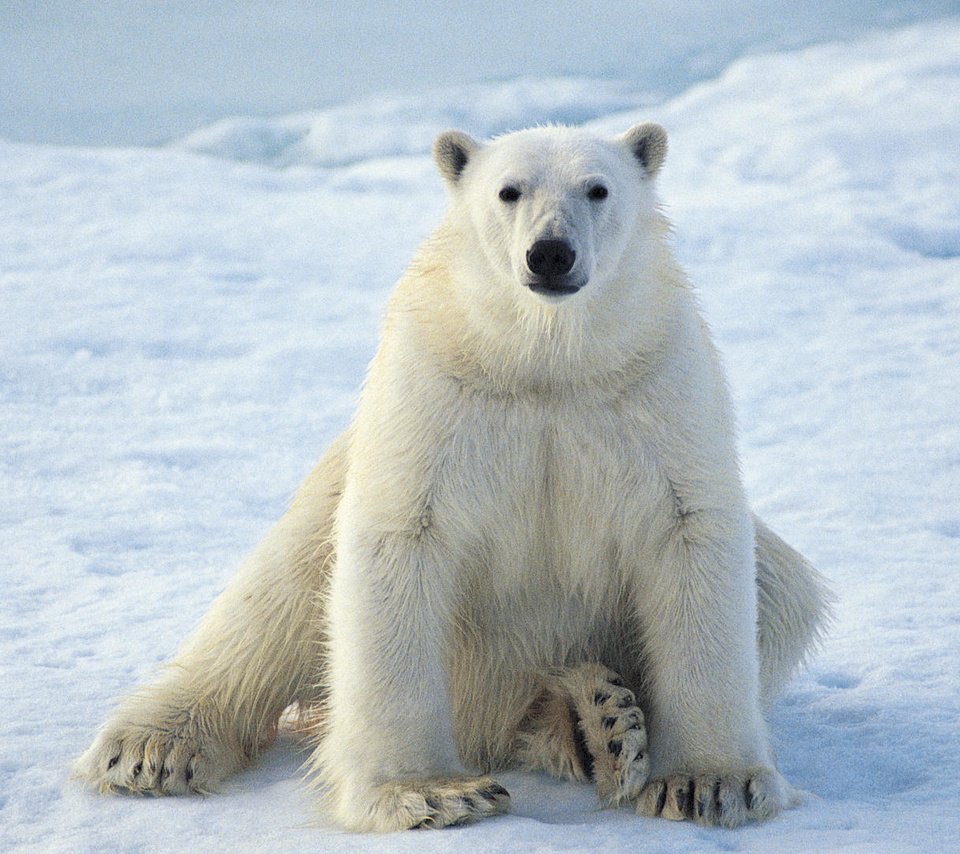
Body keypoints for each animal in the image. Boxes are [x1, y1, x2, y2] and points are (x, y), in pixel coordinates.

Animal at [75, 122, 828, 836]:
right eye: (508, 191)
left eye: (598, 189)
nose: (550, 253)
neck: (545, 362)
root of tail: (486, 715)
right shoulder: (436, 390)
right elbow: (399, 540)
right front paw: (430, 794)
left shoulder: (655, 387)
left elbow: (690, 536)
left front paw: (710, 784)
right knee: (272, 601)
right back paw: (151, 747)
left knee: (783, 589)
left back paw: (597, 723)